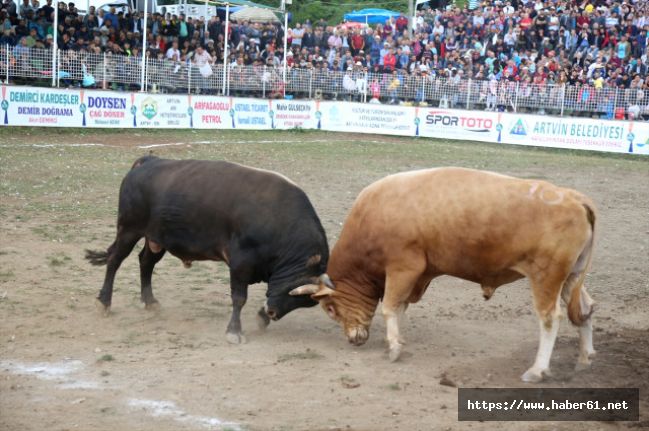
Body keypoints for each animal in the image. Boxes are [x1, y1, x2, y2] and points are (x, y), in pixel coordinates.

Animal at [86, 156, 330, 344]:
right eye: (293, 293)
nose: (272, 313)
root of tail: (148, 161)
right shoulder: (240, 263)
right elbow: (239, 298)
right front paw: (234, 331)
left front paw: (261, 318)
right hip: (128, 229)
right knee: (115, 260)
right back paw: (104, 302)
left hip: (156, 238)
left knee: (145, 262)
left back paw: (150, 302)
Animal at [292, 167, 596, 384]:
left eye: (330, 309)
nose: (352, 340)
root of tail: (574, 198)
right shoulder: (416, 275)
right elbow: (400, 307)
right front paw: (397, 339)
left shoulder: (403, 267)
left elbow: (390, 307)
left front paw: (394, 347)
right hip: (571, 278)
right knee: (585, 309)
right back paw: (584, 358)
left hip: (546, 278)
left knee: (550, 318)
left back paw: (537, 369)